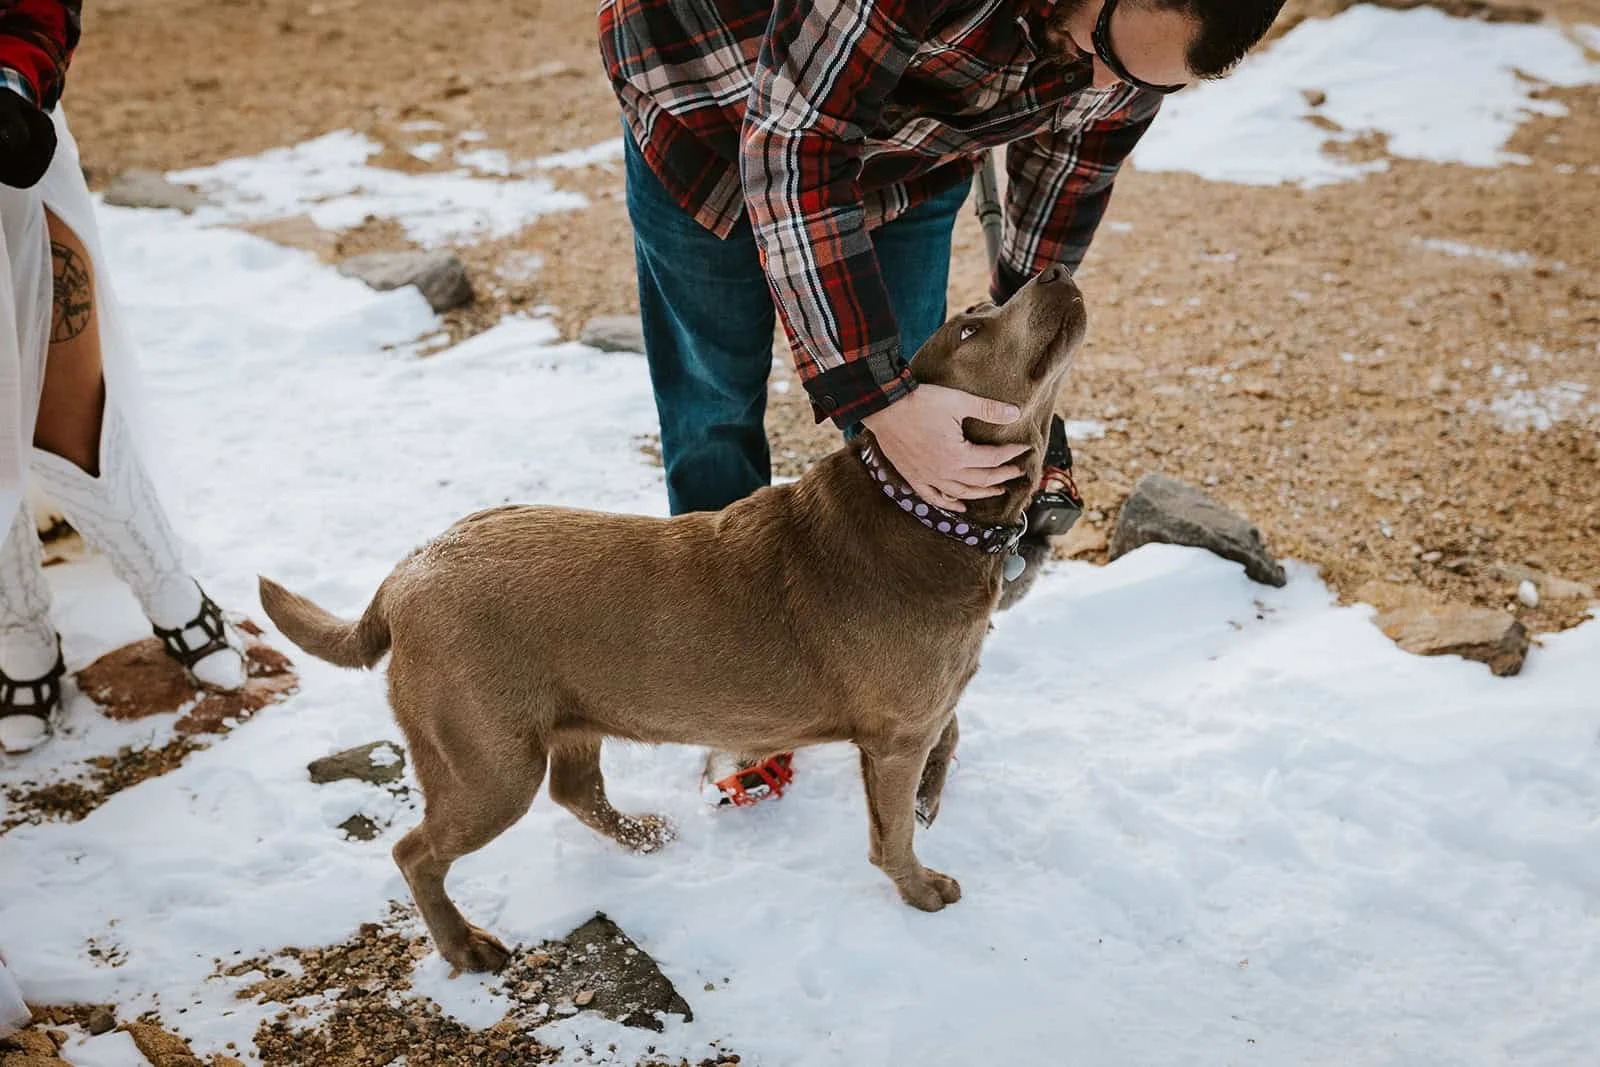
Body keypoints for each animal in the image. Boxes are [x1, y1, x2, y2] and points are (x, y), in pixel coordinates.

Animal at [259, 264, 1087, 973]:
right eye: (971, 328)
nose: (1050, 269)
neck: (921, 509)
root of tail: (403, 575)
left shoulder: (921, 709)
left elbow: (951, 730)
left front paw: (932, 793)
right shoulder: (893, 734)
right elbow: (894, 836)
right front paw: (922, 890)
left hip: (566, 716)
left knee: (576, 792)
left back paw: (642, 835)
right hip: (489, 763)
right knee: (415, 851)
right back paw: (466, 946)